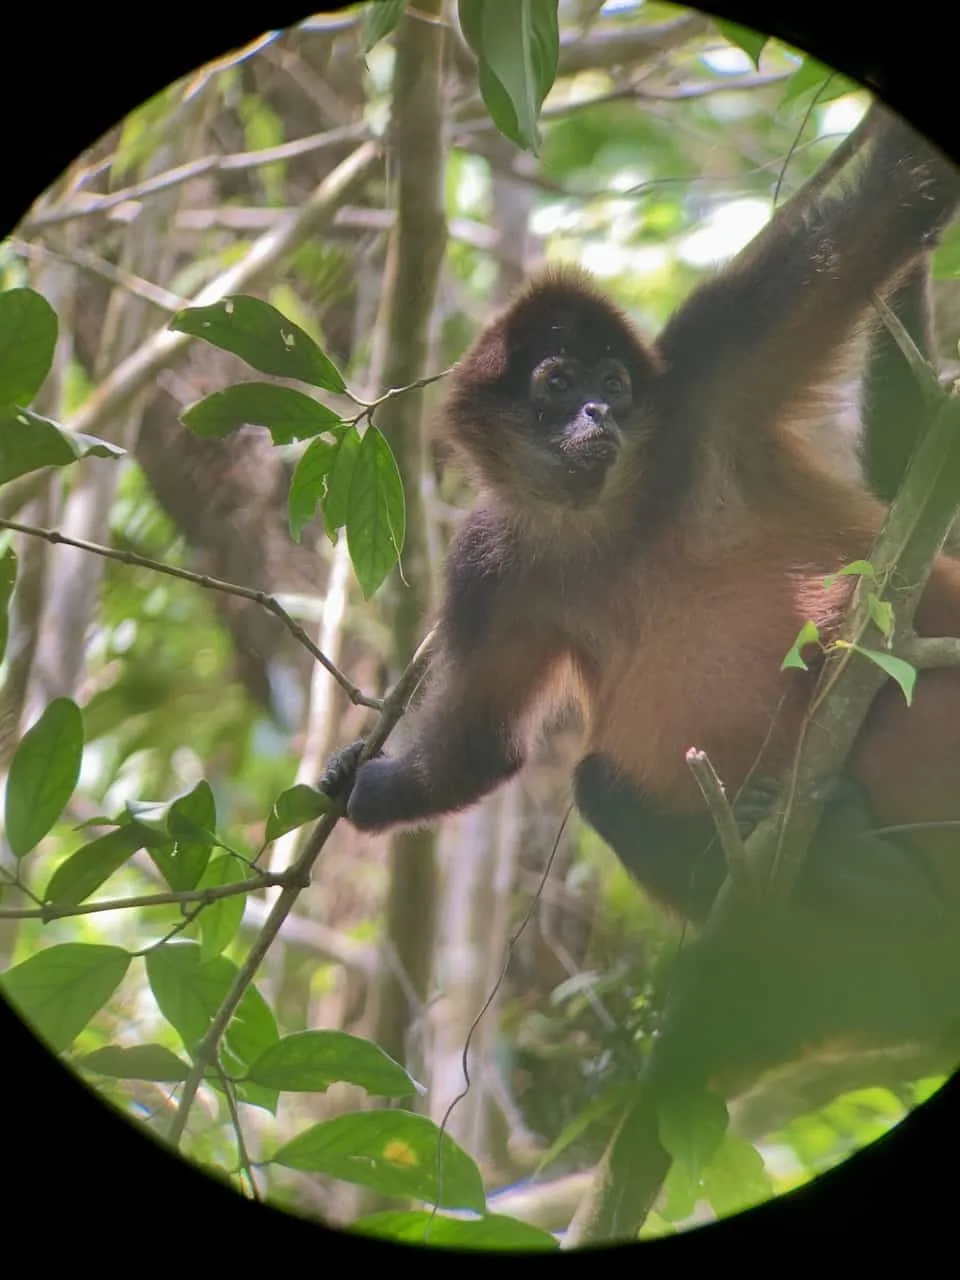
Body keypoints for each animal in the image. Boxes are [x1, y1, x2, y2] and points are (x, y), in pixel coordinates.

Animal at [327, 102, 960, 942]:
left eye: (613, 382)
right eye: (559, 385)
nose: (598, 411)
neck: (609, 516)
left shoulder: (705, 371)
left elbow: (891, 206)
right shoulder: (489, 561)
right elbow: (481, 747)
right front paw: (364, 786)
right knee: (599, 785)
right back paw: (854, 867)